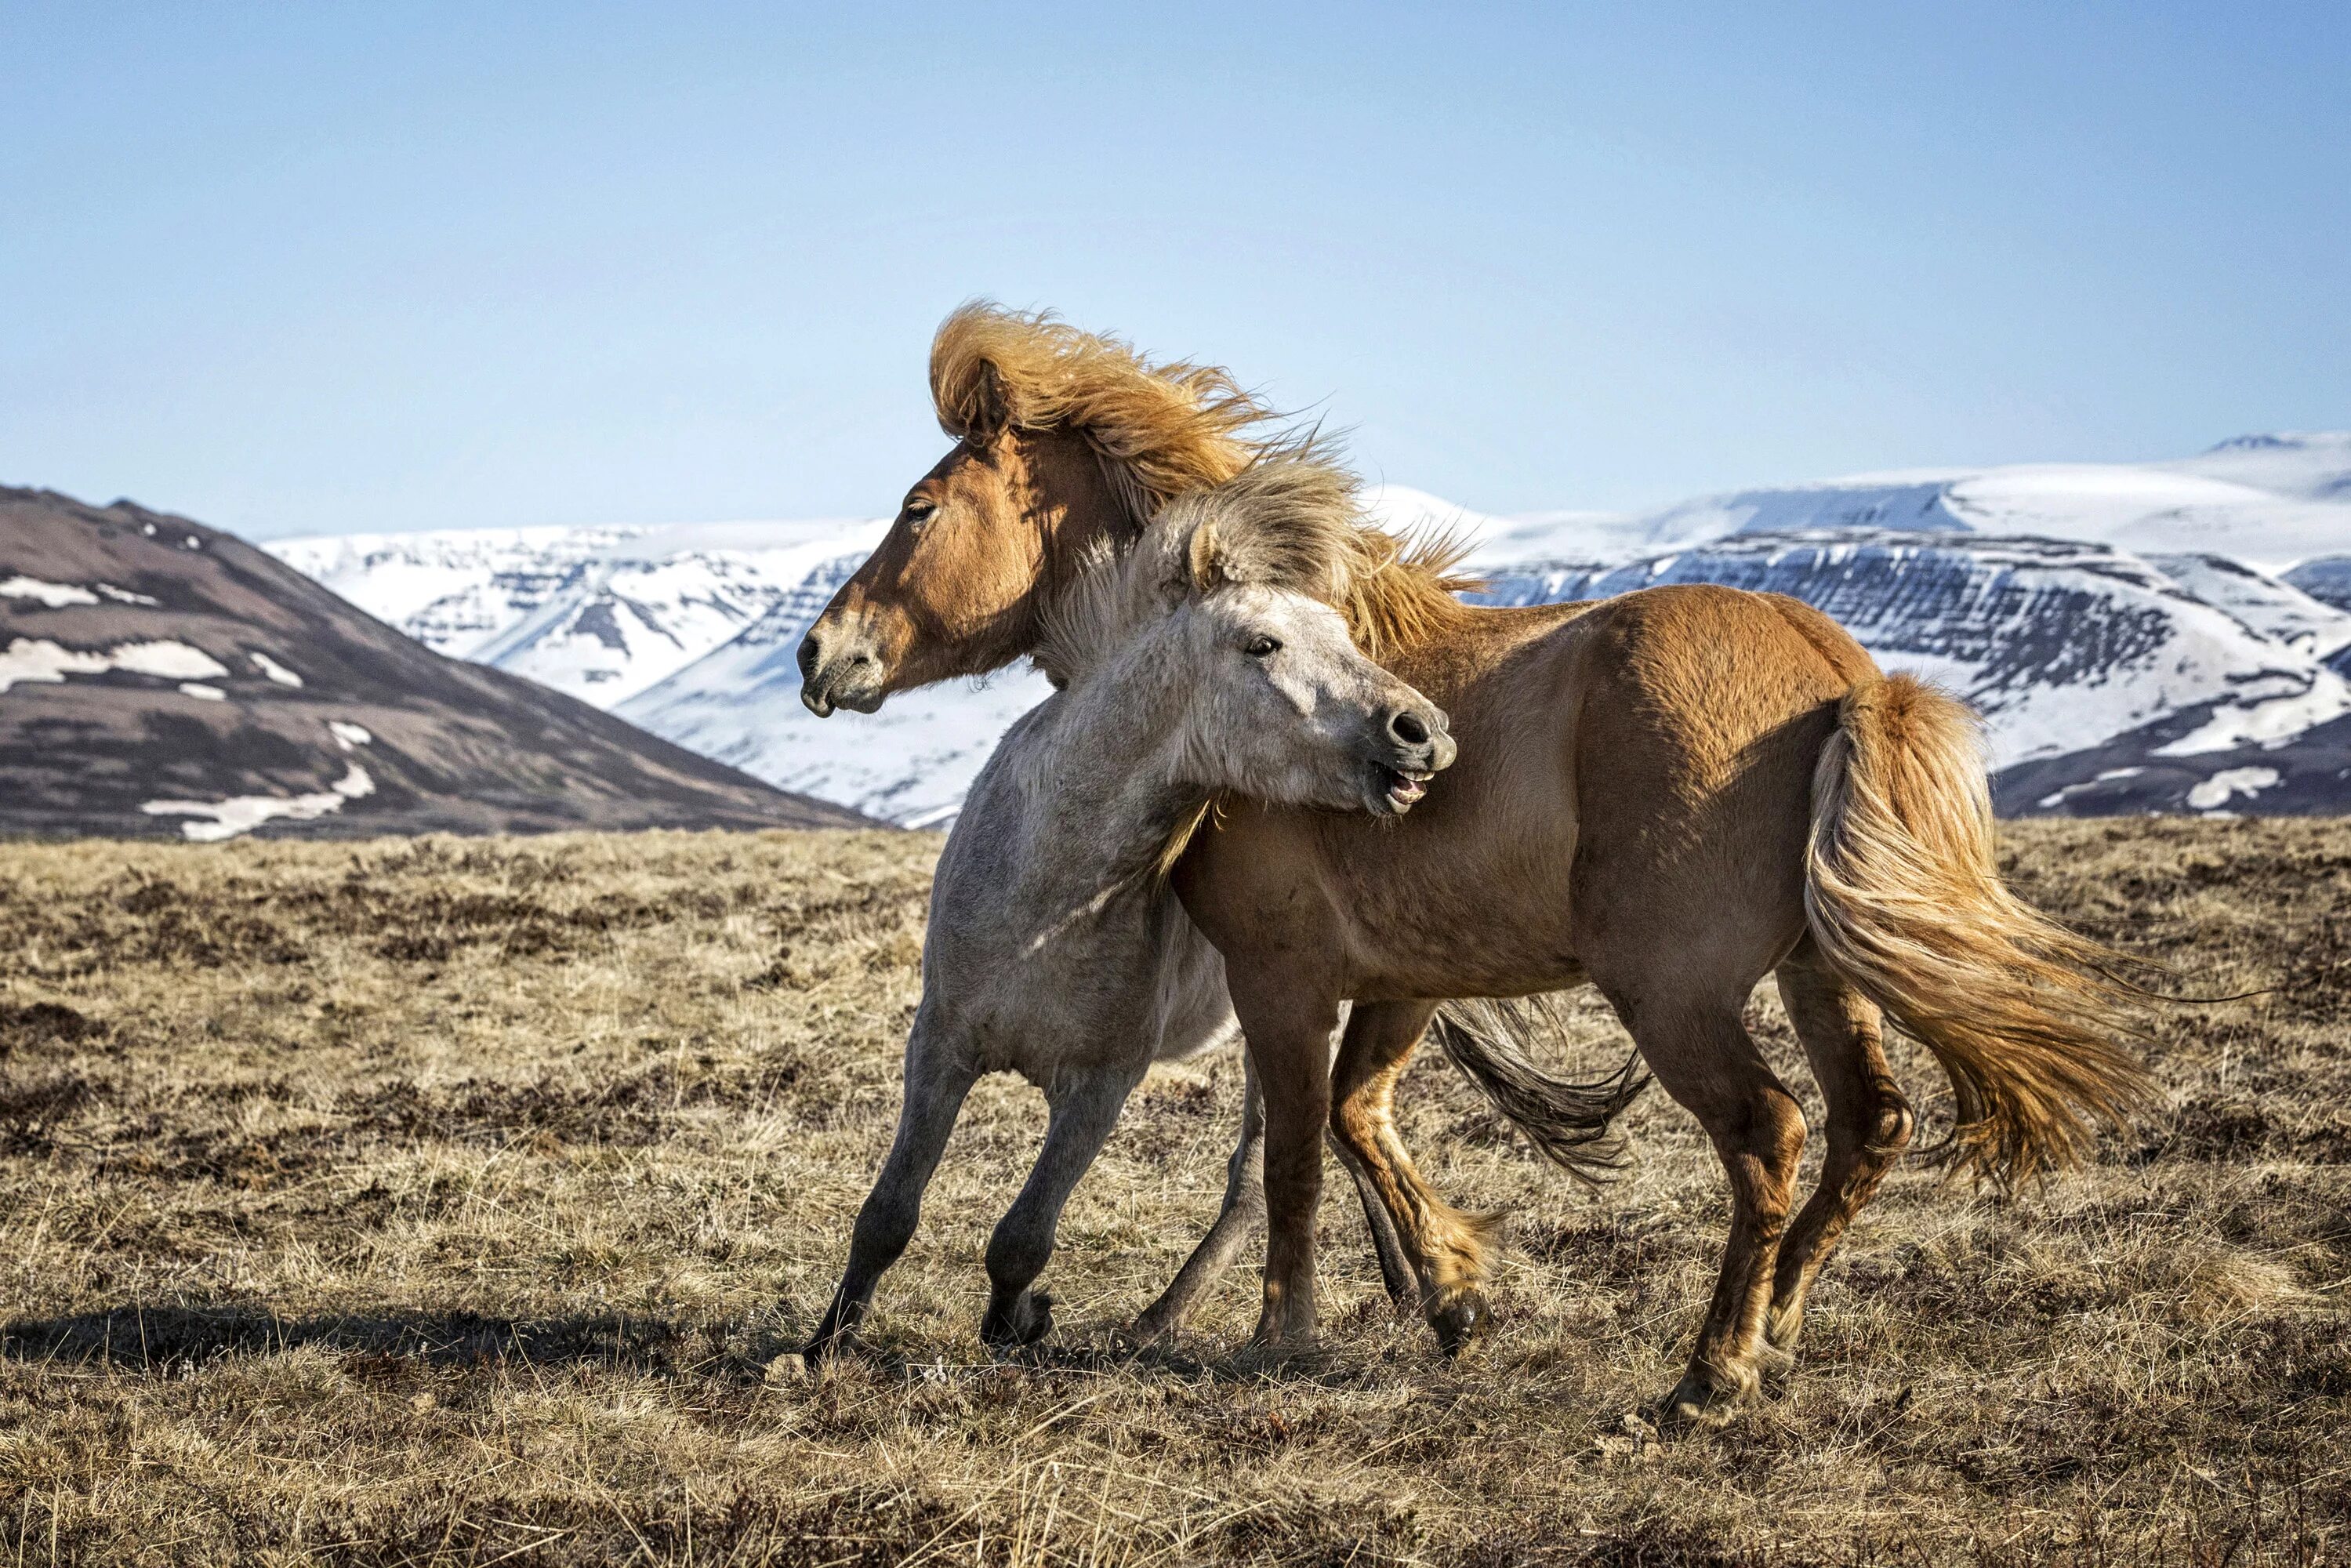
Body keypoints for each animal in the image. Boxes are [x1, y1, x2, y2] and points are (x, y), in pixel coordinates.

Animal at [794, 303, 2153, 1420]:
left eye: (918, 507)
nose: (821, 654)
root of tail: (1835, 675)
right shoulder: (1400, 982)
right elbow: (1358, 1120)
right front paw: (1450, 1297)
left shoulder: (1282, 978)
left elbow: (1294, 1156)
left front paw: (1285, 1337)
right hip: (1819, 973)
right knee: (1870, 1125)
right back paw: (1773, 1333)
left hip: (1674, 992)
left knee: (1768, 1132)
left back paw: (1707, 1376)